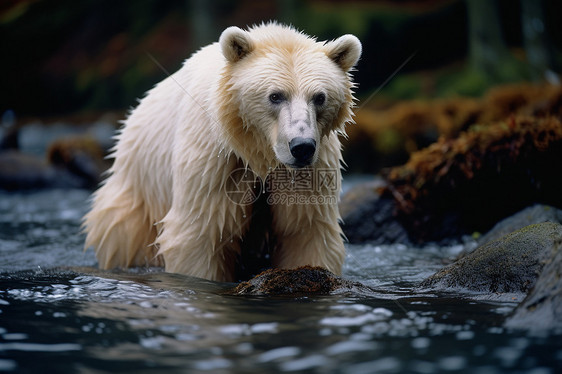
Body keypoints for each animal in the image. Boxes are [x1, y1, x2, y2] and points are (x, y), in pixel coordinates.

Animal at [85, 22, 360, 280]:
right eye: (275, 96)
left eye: (320, 97)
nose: (301, 146)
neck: (255, 150)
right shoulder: (216, 158)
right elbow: (202, 229)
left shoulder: (315, 166)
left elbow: (305, 229)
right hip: (137, 199)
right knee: (124, 236)